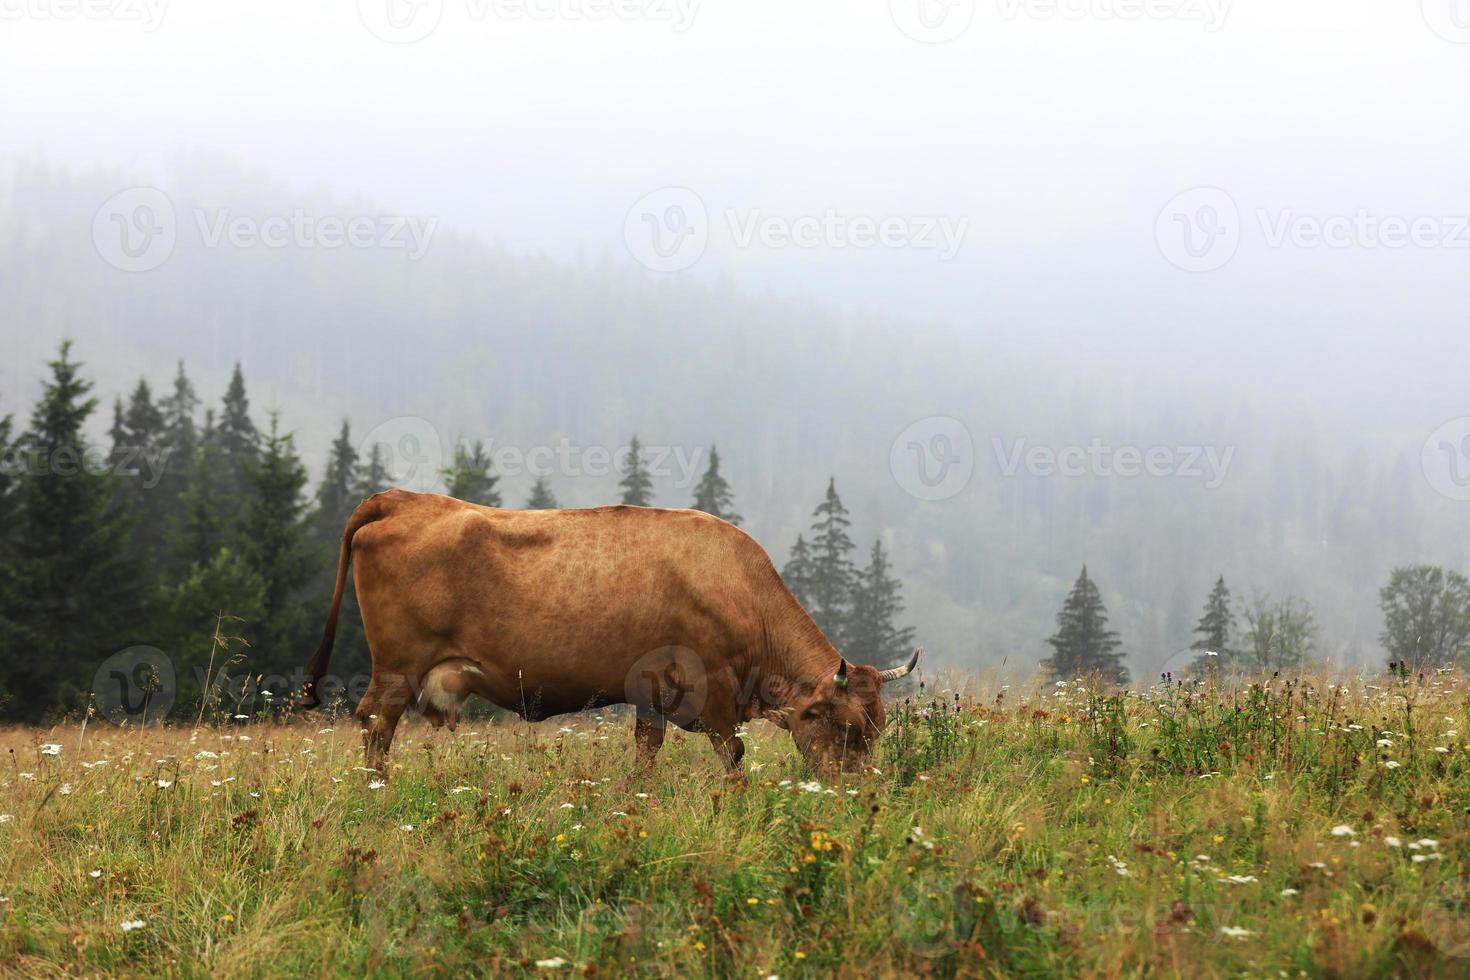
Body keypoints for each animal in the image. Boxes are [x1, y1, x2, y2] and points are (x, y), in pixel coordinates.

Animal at [299, 493, 917, 775]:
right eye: (846, 728)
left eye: (878, 727)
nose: (859, 792)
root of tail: (405, 499)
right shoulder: (713, 688)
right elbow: (734, 752)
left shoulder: (650, 694)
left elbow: (646, 753)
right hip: (397, 667)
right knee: (375, 722)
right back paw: (377, 789)